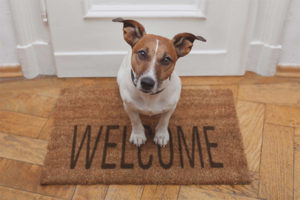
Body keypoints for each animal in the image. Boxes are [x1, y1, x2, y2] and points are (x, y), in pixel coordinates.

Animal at [113, 18, 206, 147]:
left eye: (166, 60)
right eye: (142, 53)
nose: (147, 83)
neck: (150, 97)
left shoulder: (171, 107)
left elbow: (164, 121)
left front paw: (161, 135)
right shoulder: (129, 107)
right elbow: (135, 120)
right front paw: (138, 135)